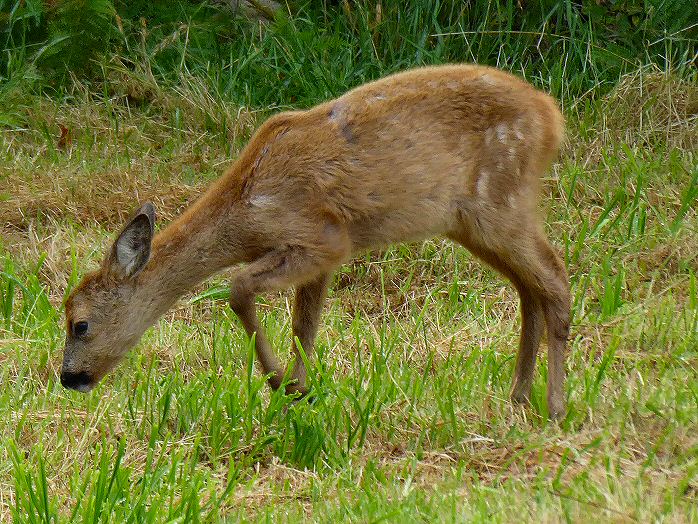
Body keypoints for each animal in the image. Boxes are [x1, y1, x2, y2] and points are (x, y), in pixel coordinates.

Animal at [62, 63, 568, 418]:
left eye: (79, 324)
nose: (68, 377)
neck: (245, 213)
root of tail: (551, 115)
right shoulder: (321, 258)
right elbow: (305, 326)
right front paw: (299, 392)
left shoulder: (319, 237)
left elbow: (239, 289)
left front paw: (280, 383)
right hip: (474, 221)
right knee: (530, 288)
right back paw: (519, 397)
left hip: (499, 202)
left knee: (555, 278)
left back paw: (555, 407)